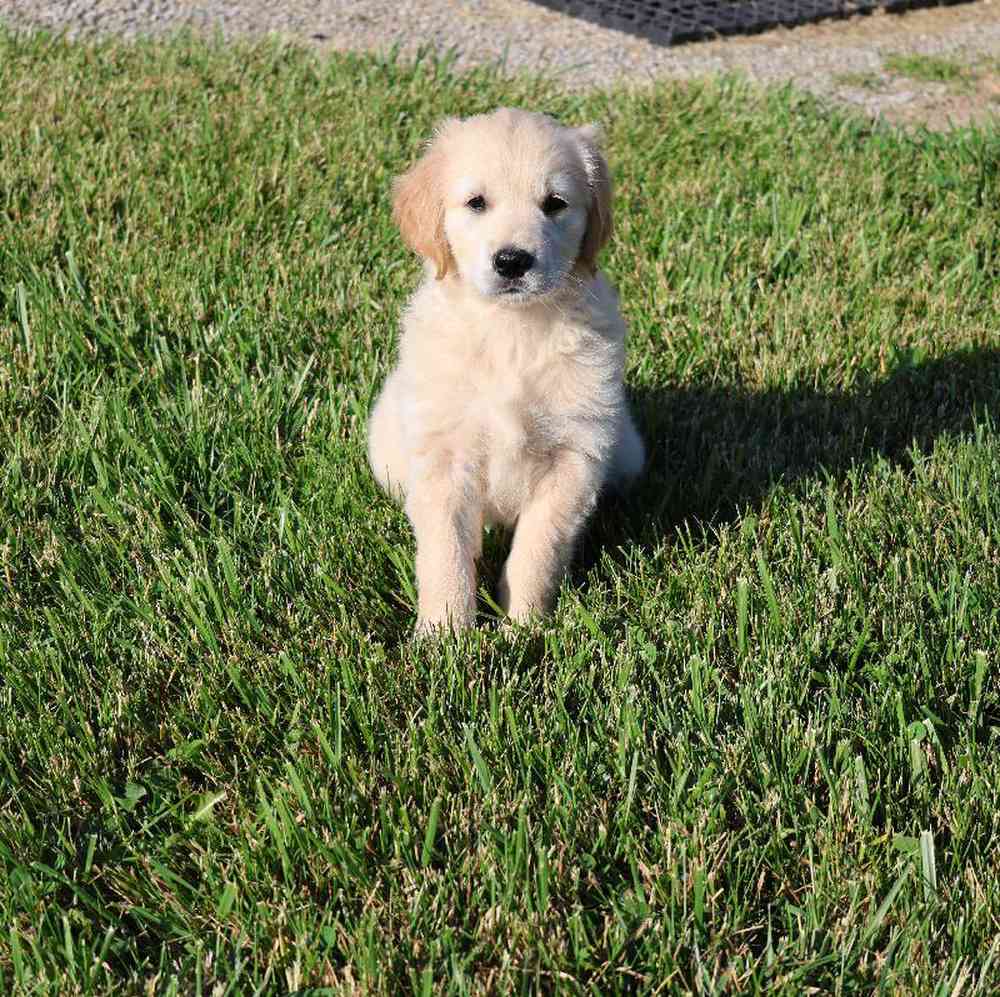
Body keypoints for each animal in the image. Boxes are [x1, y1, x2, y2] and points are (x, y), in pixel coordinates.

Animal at [368, 109, 640, 636]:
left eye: (555, 204)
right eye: (477, 203)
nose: (513, 261)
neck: (510, 331)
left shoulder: (573, 458)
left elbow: (538, 548)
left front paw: (525, 627)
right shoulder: (444, 457)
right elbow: (446, 552)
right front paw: (445, 634)